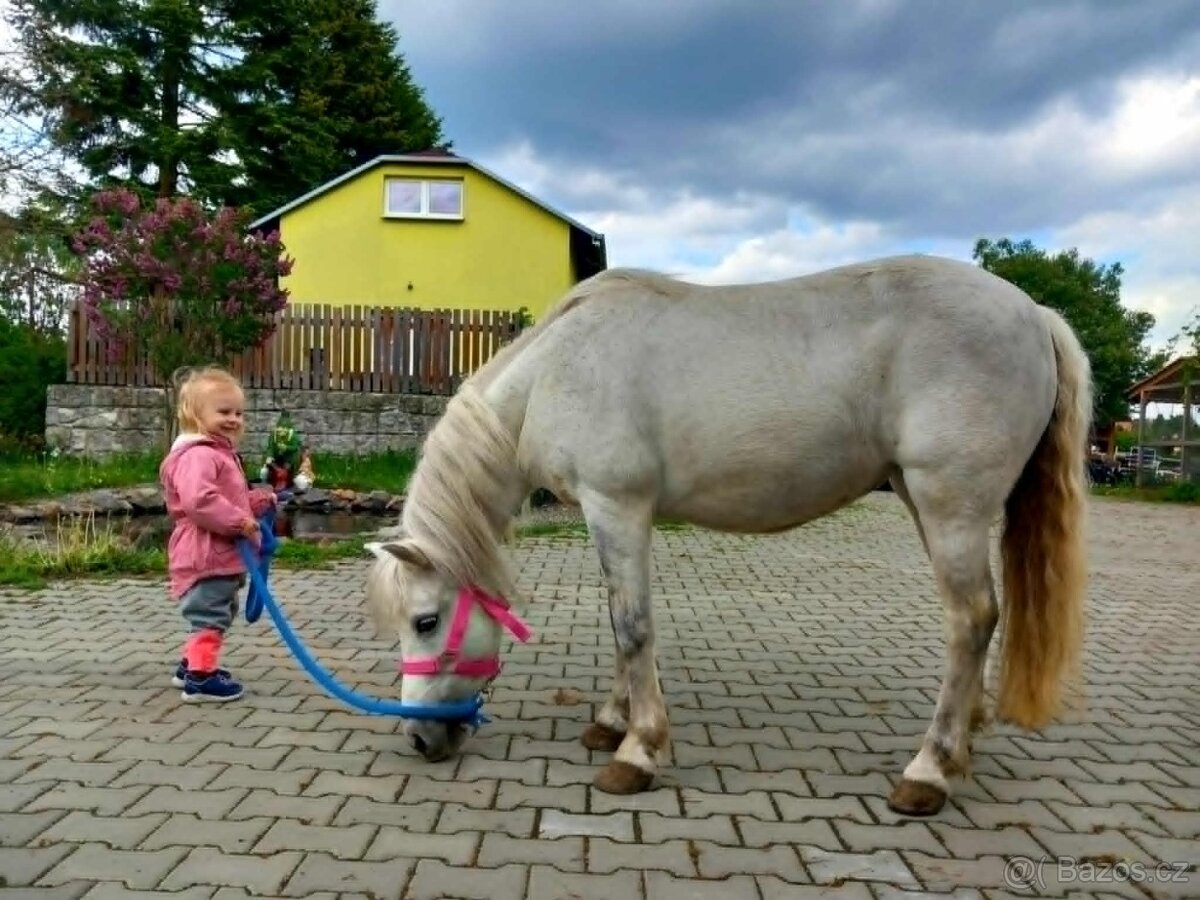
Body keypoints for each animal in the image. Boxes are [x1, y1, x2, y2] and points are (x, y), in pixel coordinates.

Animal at [363, 253, 1091, 817]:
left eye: (426, 621)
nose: (421, 741)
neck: (553, 371)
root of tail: (1036, 314)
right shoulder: (615, 516)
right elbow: (621, 621)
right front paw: (611, 723)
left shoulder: (616, 506)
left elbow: (632, 625)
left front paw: (637, 752)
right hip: (921, 497)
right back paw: (963, 741)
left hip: (949, 505)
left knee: (971, 619)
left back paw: (929, 770)